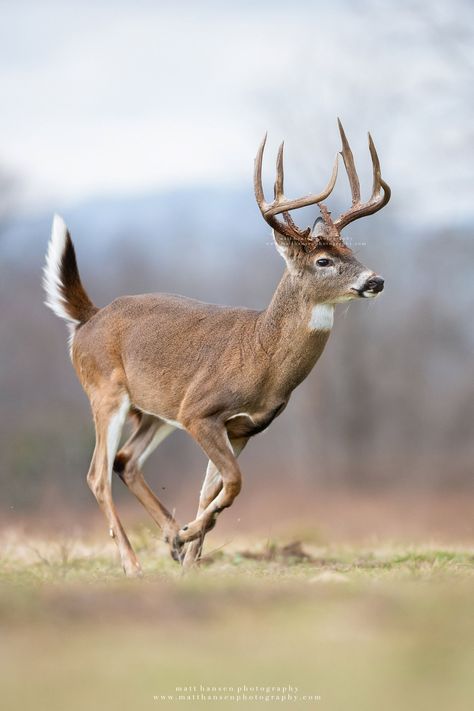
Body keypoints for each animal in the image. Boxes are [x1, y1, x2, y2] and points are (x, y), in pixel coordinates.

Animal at [43, 119, 392, 576]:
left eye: (350, 250)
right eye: (323, 261)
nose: (376, 280)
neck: (262, 358)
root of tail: (88, 317)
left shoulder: (241, 427)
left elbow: (215, 490)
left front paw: (189, 553)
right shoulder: (200, 411)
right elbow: (235, 483)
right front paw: (188, 538)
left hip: (155, 409)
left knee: (126, 461)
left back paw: (169, 537)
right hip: (105, 391)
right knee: (97, 473)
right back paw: (133, 563)